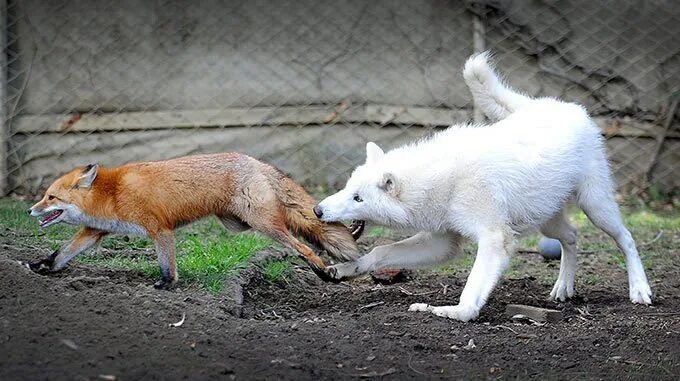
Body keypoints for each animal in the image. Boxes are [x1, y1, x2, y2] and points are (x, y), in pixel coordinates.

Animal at [25, 153, 364, 286]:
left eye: (50, 198)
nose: (29, 210)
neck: (113, 193)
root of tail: (254, 160)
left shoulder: (160, 228)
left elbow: (167, 264)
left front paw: (166, 284)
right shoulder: (95, 231)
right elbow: (63, 253)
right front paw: (43, 266)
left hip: (262, 223)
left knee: (302, 245)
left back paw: (322, 270)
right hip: (237, 223)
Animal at [314, 51, 652, 320]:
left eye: (358, 198)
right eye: (347, 189)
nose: (317, 210)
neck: (441, 179)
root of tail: (563, 105)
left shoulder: (494, 238)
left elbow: (472, 288)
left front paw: (453, 312)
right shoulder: (443, 242)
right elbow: (380, 252)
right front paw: (344, 270)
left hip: (596, 207)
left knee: (626, 238)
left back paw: (640, 290)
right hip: (547, 222)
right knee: (571, 236)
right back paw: (562, 288)